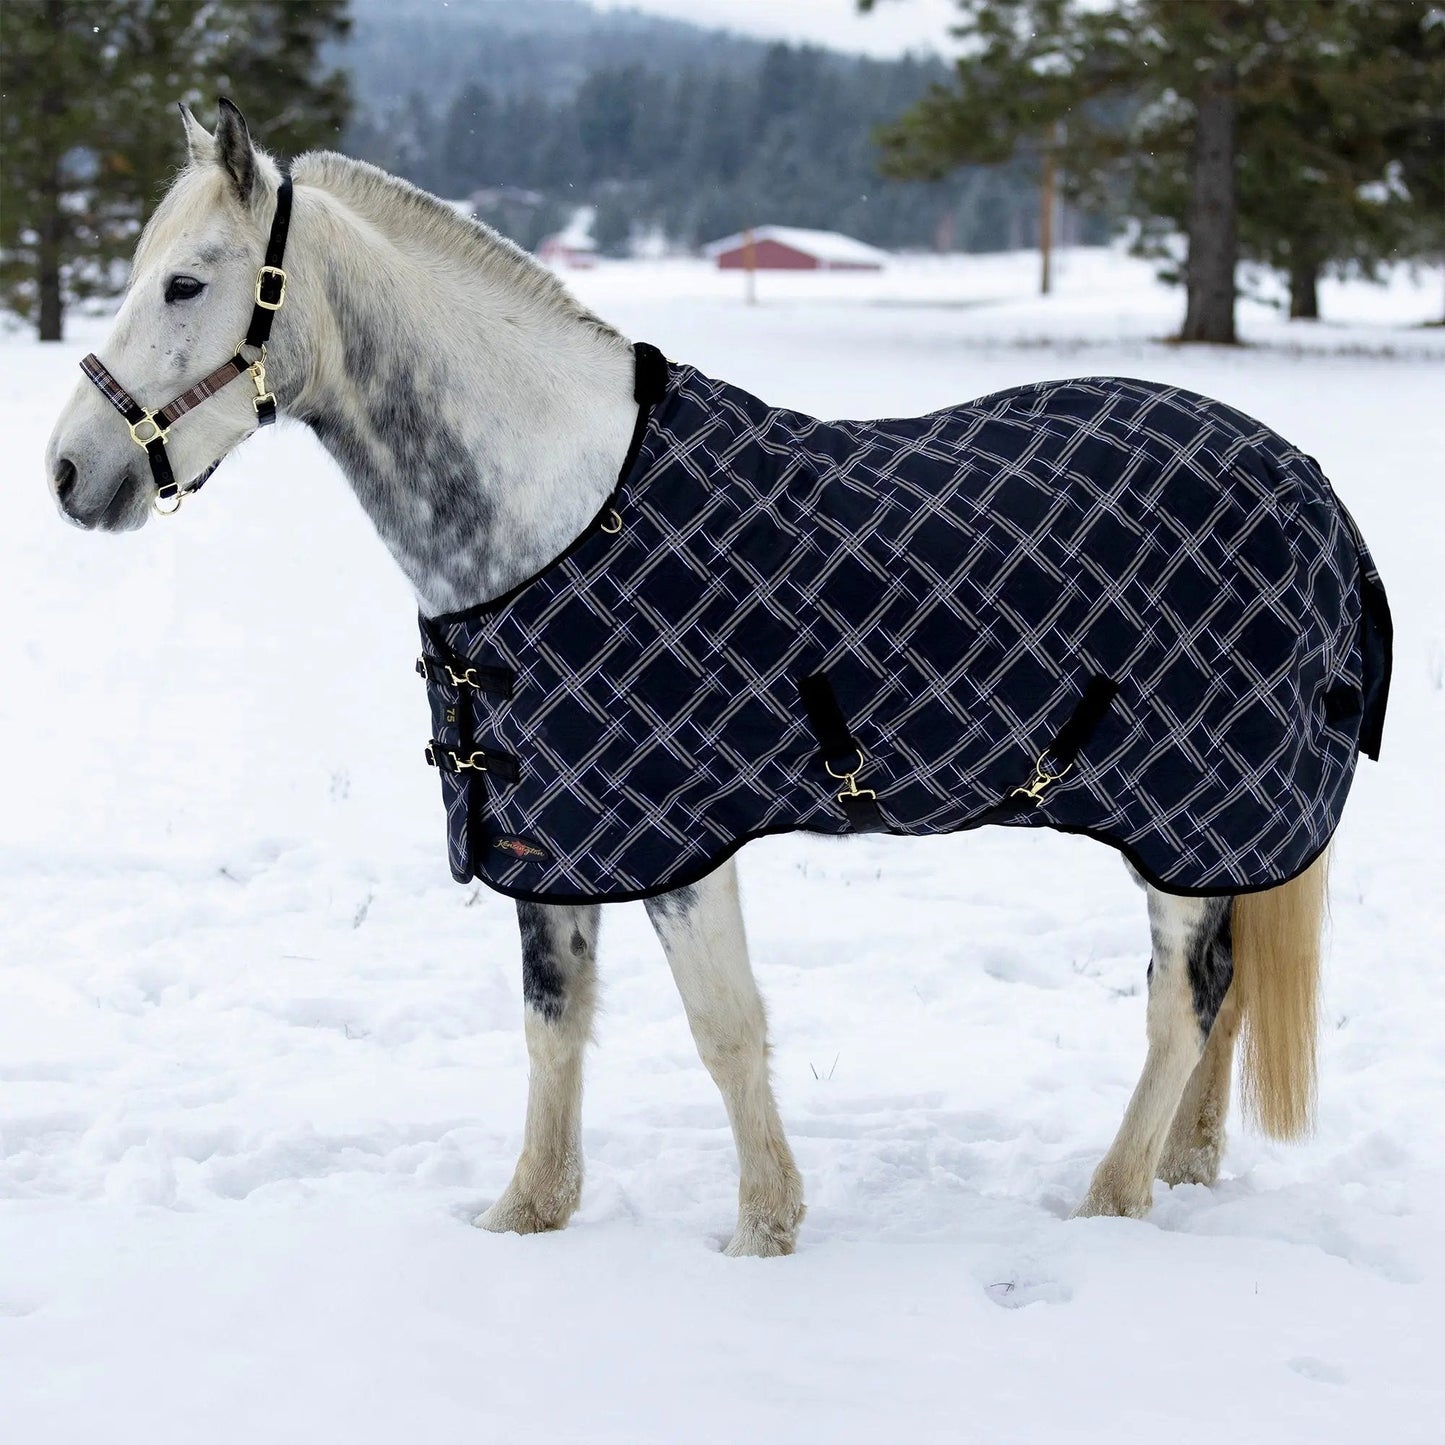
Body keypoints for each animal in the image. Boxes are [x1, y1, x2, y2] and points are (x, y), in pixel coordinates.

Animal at [45, 101, 1385, 1257]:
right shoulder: (556, 838)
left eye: (186, 281)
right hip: (1204, 841)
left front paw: (761, 1233)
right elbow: (552, 1027)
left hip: (1180, 820)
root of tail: (1311, 487)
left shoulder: (678, 838)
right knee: (1221, 997)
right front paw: (526, 1215)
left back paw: (1109, 1198)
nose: (68, 470)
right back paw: (1182, 1169)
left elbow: (724, 1030)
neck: (557, 512)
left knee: (1178, 1006)